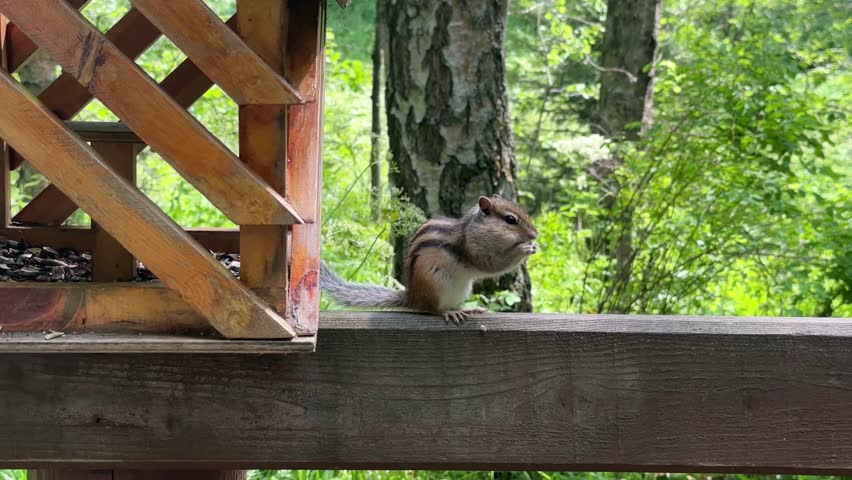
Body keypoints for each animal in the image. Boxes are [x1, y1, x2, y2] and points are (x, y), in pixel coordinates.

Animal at [321, 194, 539, 324]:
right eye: (511, 220)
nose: (535, 234)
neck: (473, 229)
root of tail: (412, 297)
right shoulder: (472, 248)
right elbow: (493, 265)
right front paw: (524, 248)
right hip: (436, 284)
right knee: (431, 310)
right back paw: (449, 313)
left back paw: (468, 310)